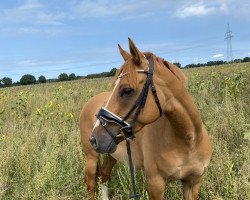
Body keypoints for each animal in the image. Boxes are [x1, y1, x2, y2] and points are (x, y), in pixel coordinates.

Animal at [79, 38, 211, 199]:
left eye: (127, 90)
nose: (95, 138)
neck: (188, 141)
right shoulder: (155, 185)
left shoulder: (193, 182)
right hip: (91, 157)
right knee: (91, 184)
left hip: (112, 153)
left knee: (104, 175)